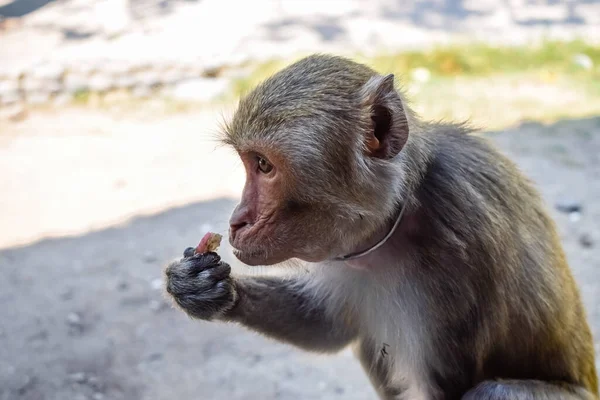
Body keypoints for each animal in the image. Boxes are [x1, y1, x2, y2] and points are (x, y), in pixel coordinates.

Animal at [162, 54, 596, 400]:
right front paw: (205, 288)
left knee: (495, 391)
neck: (404, 207)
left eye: (264, 166)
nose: (237, 220)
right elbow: (329, 325)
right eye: (249, 162)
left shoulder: (463, 236)